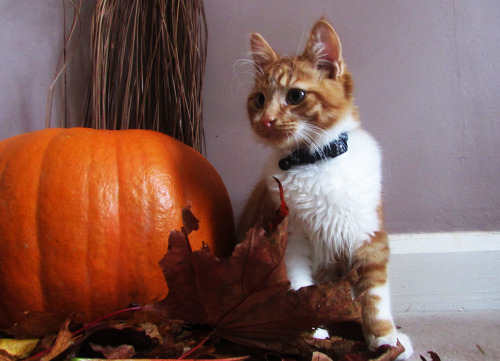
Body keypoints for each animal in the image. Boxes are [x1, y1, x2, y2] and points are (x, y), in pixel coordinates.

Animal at [238, 20, 414, 360]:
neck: (314, 162)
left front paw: (386, 339)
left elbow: (374, 297)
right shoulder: (288, 240)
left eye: (295, 96)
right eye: (260, 100)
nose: (265, 121)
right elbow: (299, 289)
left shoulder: (369, 237)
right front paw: (313, 333)